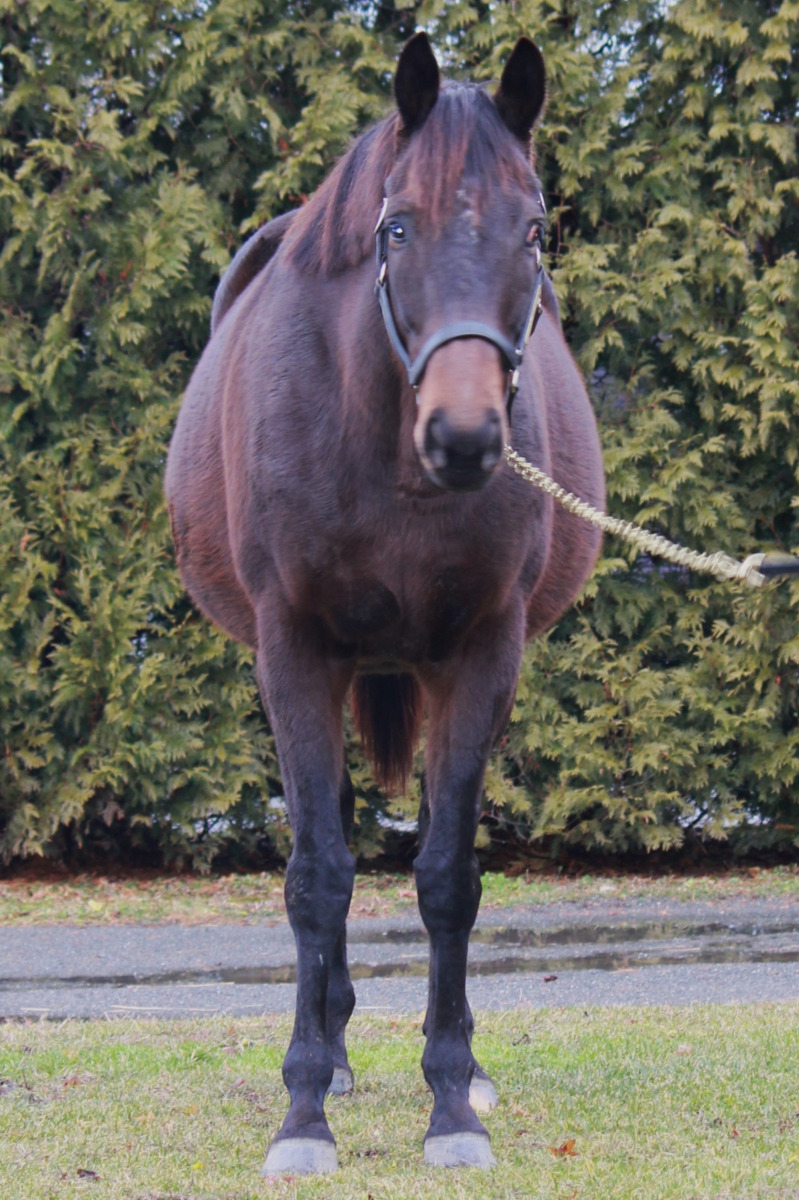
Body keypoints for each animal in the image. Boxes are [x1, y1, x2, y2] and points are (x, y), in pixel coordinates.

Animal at [165, 32, 604, 1174]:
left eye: (533, 227)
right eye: (395, 226)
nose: (464, 436)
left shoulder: (484, 652)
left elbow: (447, 877)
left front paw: (449, 1101)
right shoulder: (294, 651)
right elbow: (317, 874)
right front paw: (303, 1109)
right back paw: (330, 1048)